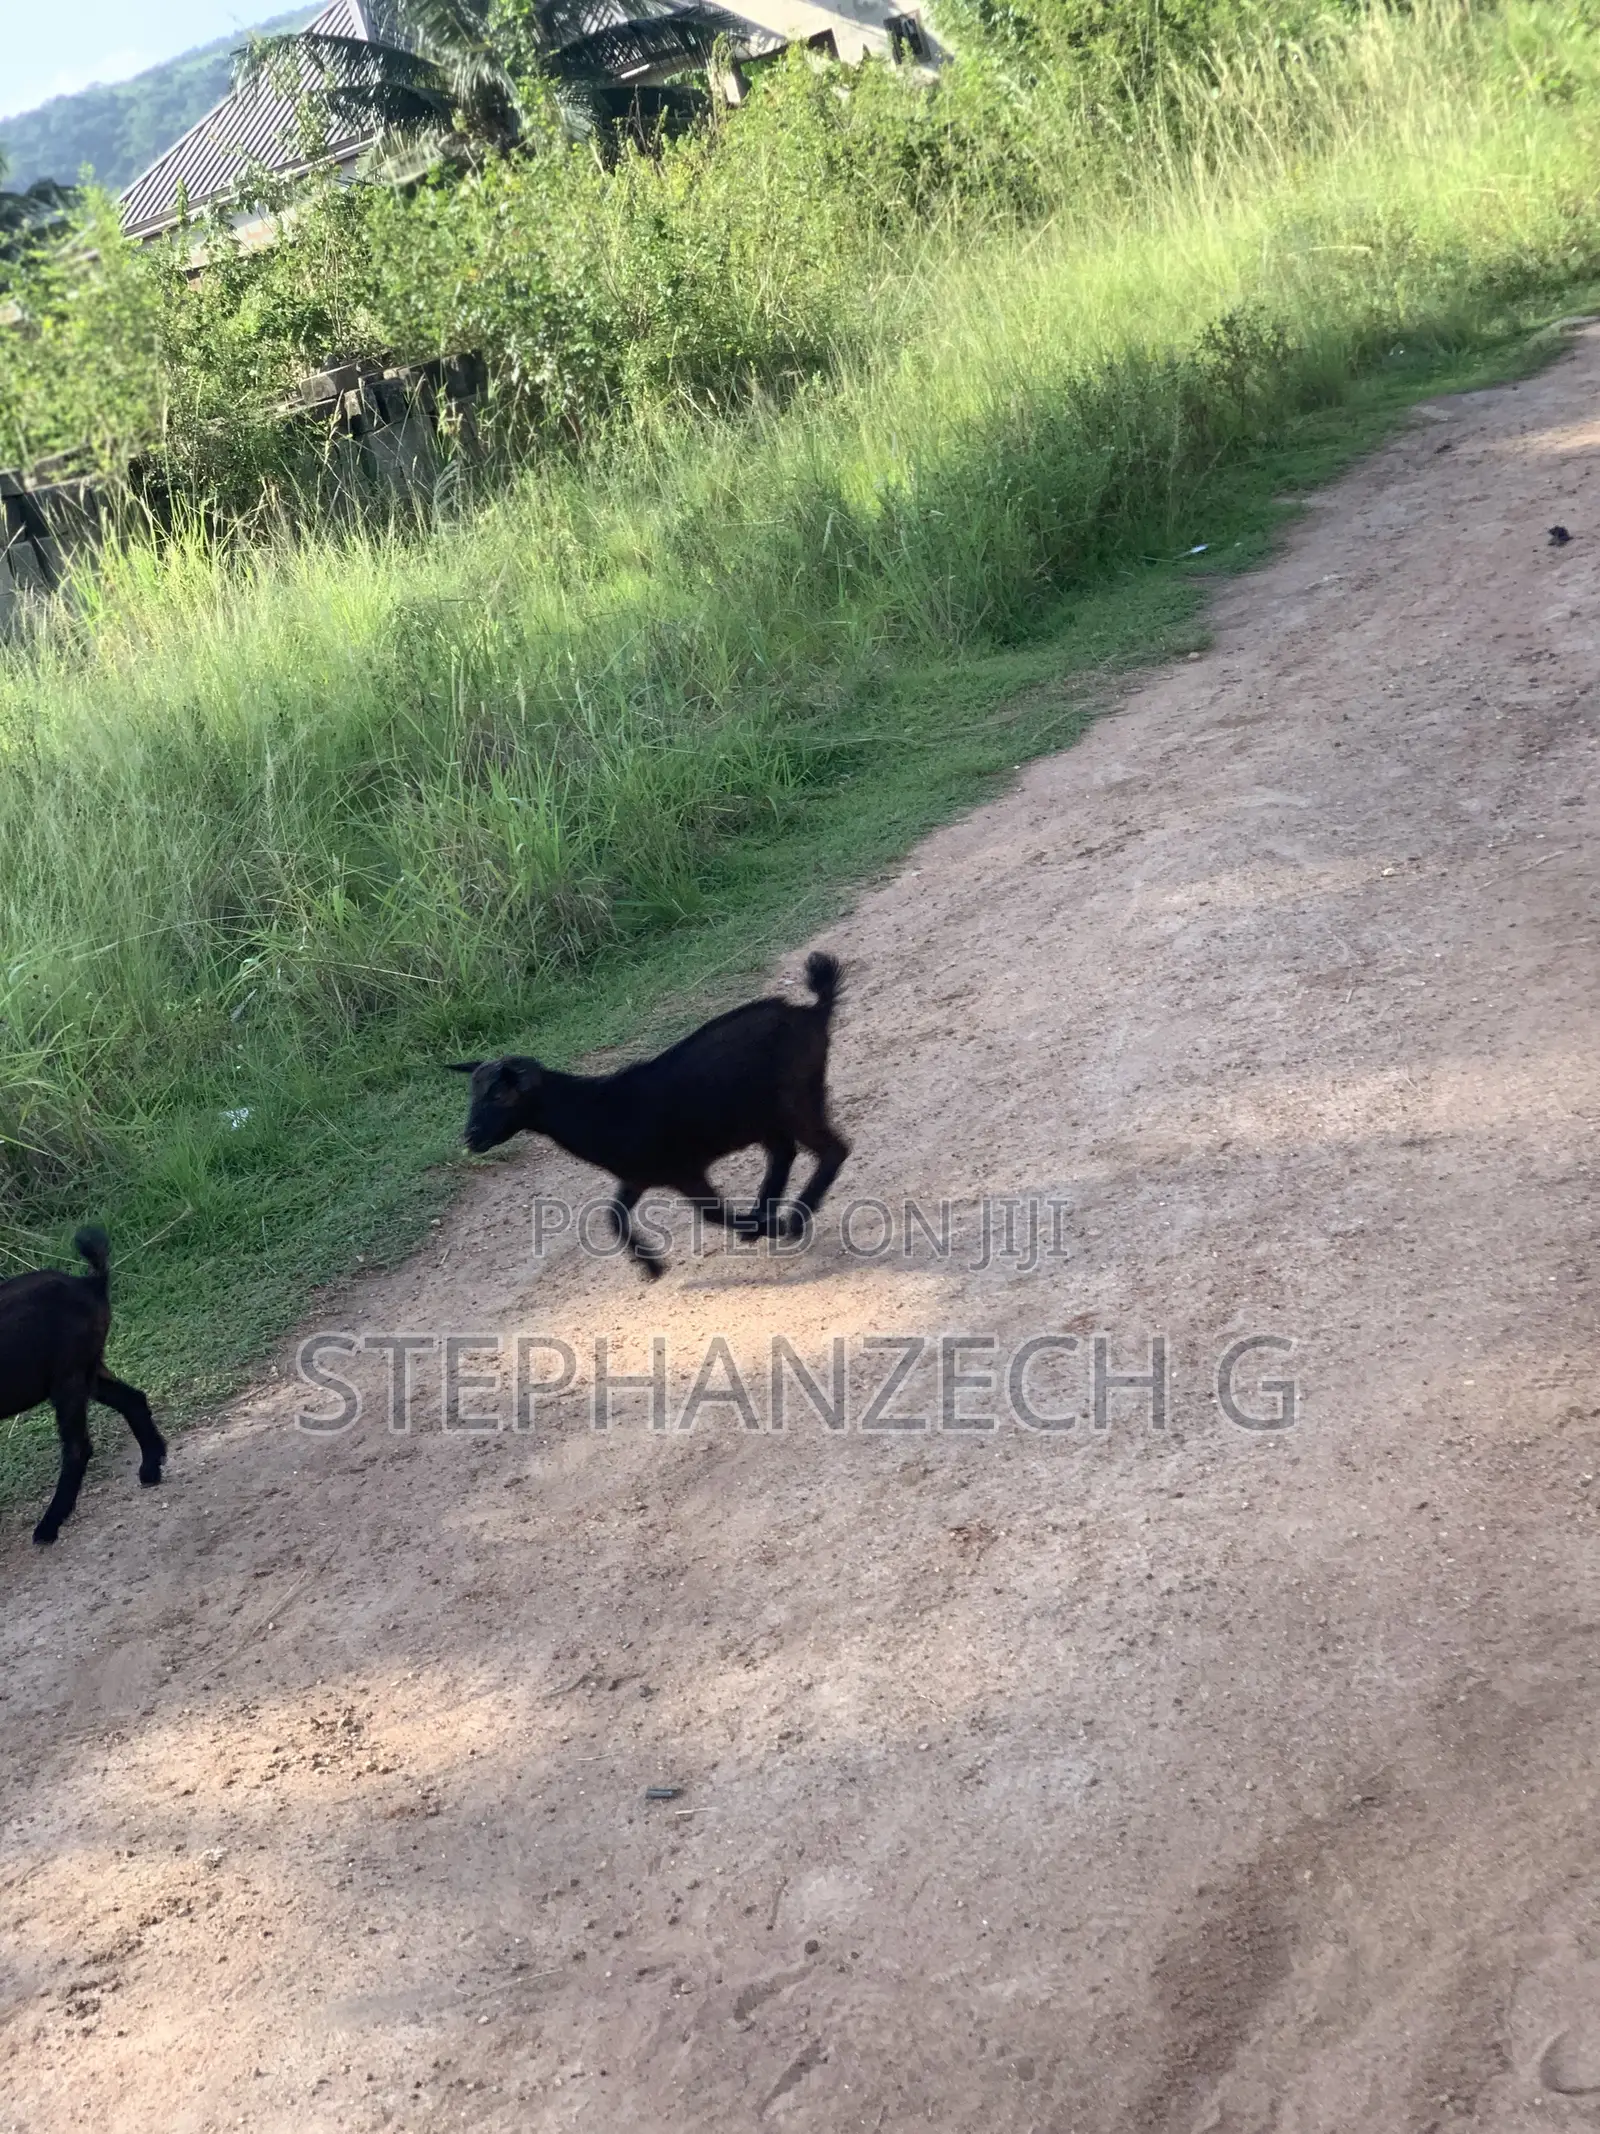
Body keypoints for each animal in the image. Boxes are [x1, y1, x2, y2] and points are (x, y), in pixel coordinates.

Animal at [0, 1227, 165, 1546]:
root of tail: (91, 1283)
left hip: (69, 1377)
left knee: (78, 1447)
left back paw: (48, 1527)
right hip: (88, 1368)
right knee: (132, 1399)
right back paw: (152, 1467)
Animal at [451, 950, 850, 1280]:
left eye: (499, 1095)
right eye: (472, 1092)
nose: (471, 1137)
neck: (595, 1108)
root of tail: (814, 1011)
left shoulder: (683, 1168)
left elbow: (710, 1213)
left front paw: (769, 1229)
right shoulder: (638, 1175)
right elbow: (613, 1215)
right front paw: (652, 1267)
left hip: (796, 1098)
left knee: (832, 1149)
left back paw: (790, 1220)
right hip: (763, 1116)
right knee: (785, 1152)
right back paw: (766, 1212)